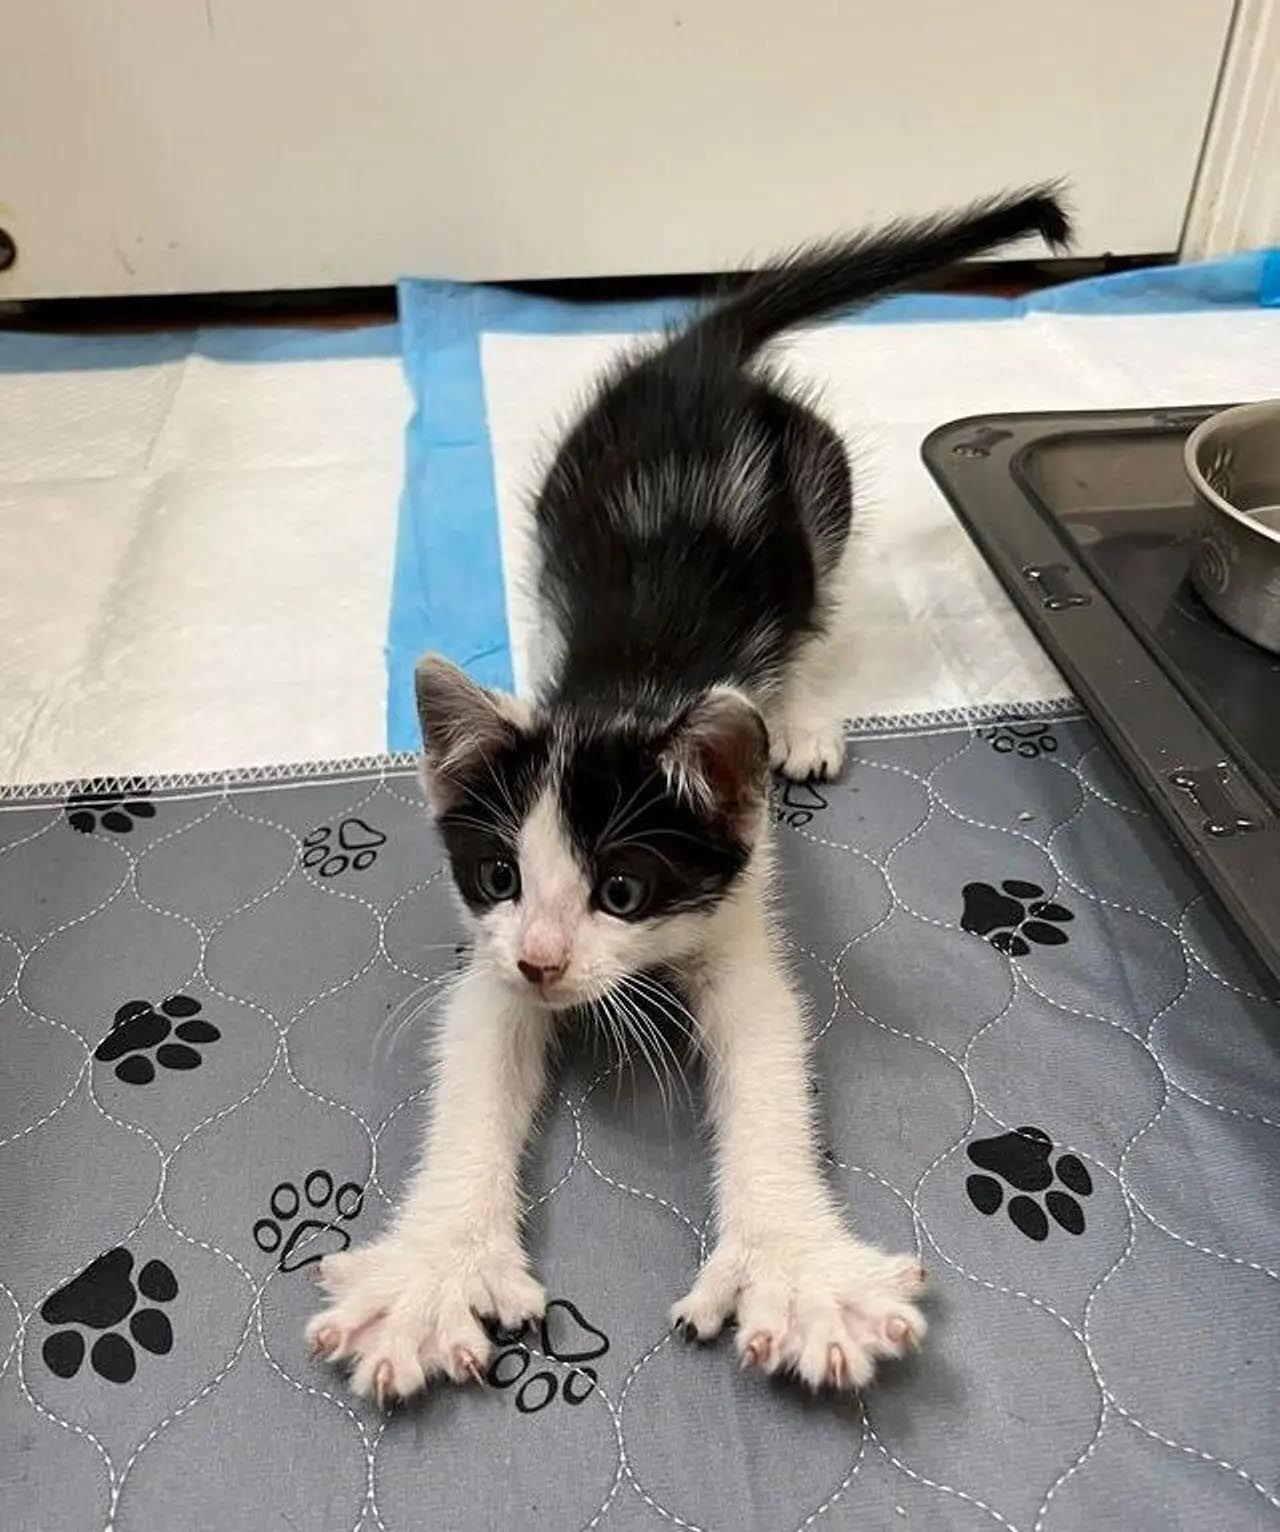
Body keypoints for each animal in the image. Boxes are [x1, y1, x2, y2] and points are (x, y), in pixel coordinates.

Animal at [307, 186, 1071, 1406]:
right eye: (499, 873)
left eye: (623, 888)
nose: (546, 960)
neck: (623, 693)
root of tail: (696, 362)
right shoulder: (490, 958)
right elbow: (475, 1051)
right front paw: (431, 1271)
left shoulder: (736, 905)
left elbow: (767, 1048)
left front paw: (797, 1270)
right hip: (566, 483)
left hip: (818, 493)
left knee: (815, 606)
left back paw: (797, 715)